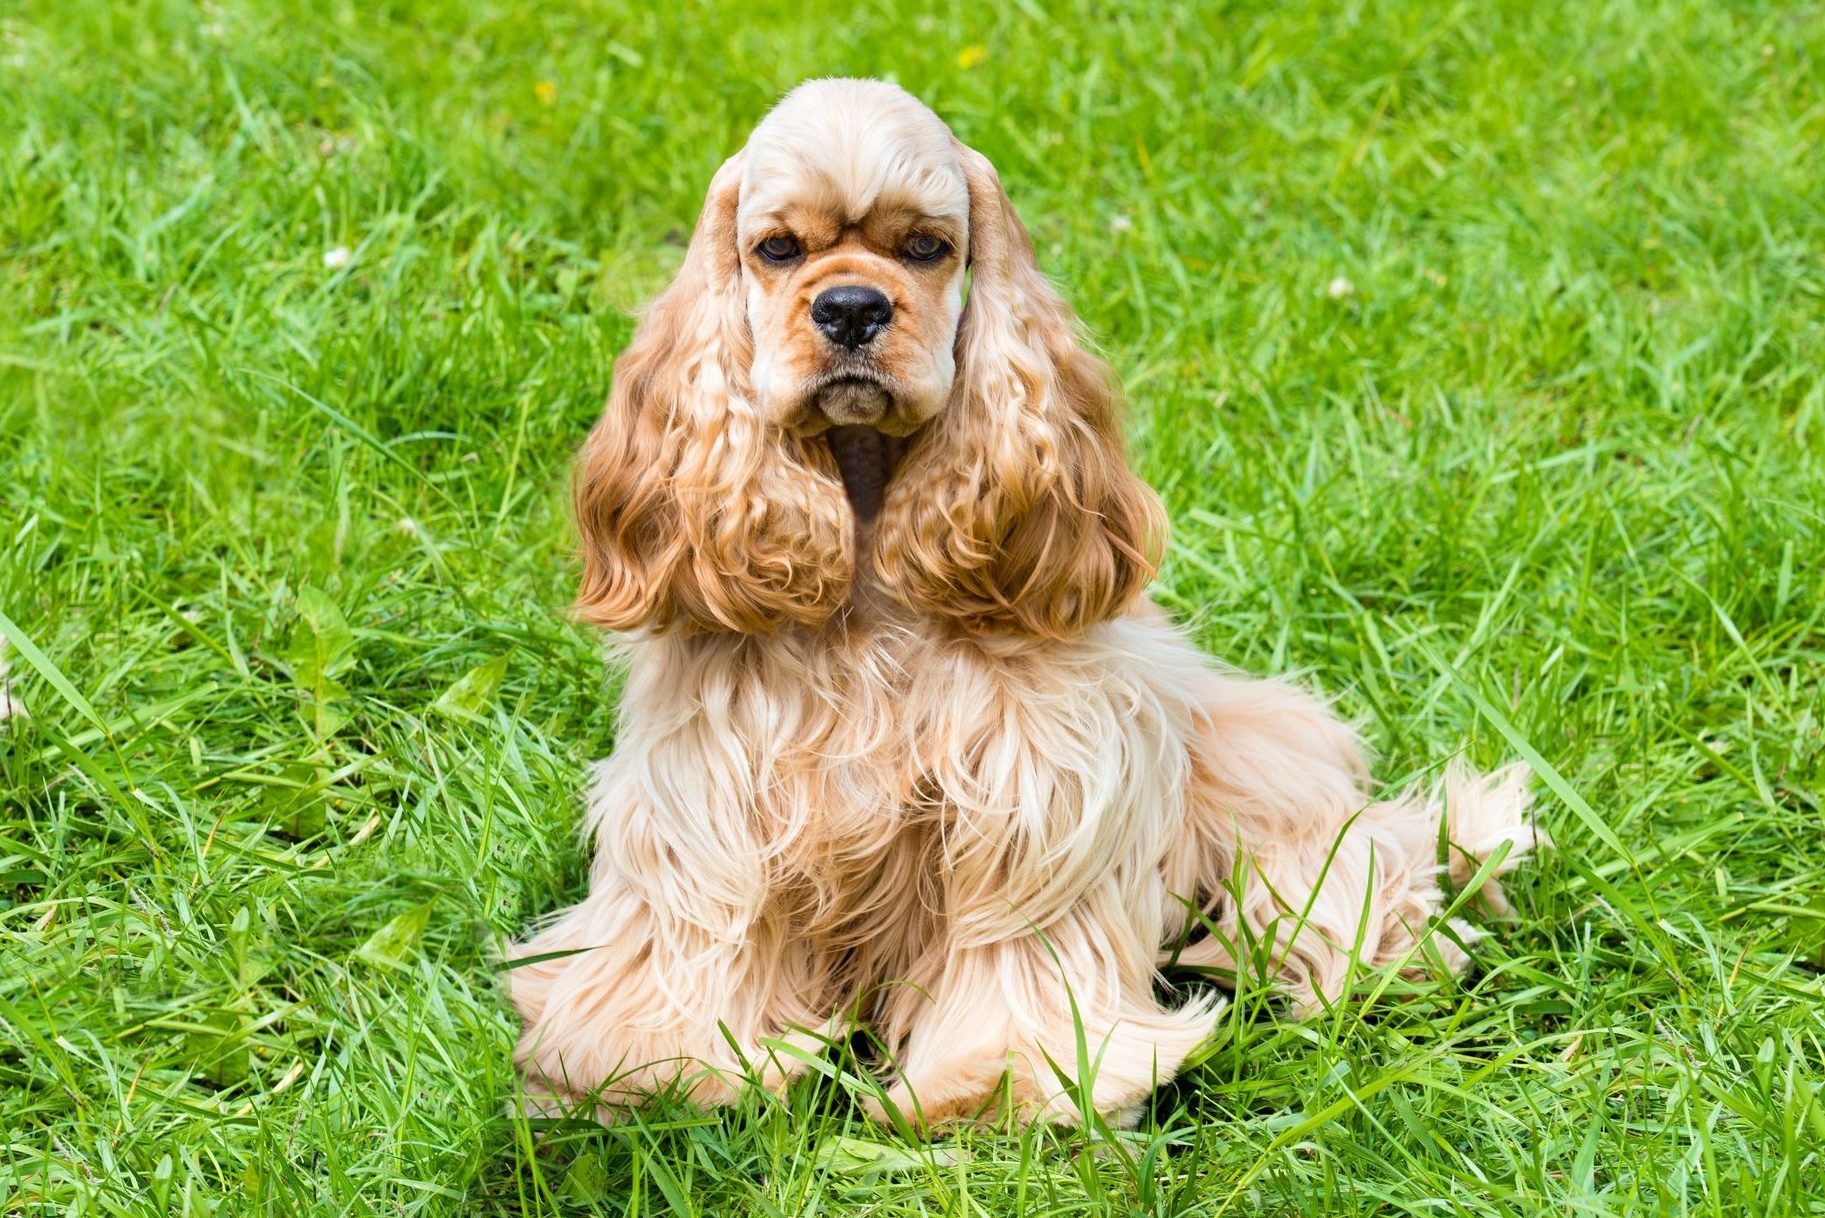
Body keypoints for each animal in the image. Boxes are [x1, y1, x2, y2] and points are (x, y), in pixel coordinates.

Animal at [507, 78, 1547, 1132]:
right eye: (777, 248)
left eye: (927, 246)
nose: (851, 307)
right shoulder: (708, 794)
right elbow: (692, 935)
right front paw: (646, 1068)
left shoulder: (1034, 797)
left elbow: (1015, 955)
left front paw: (1003, 1085)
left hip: (1270, 780)